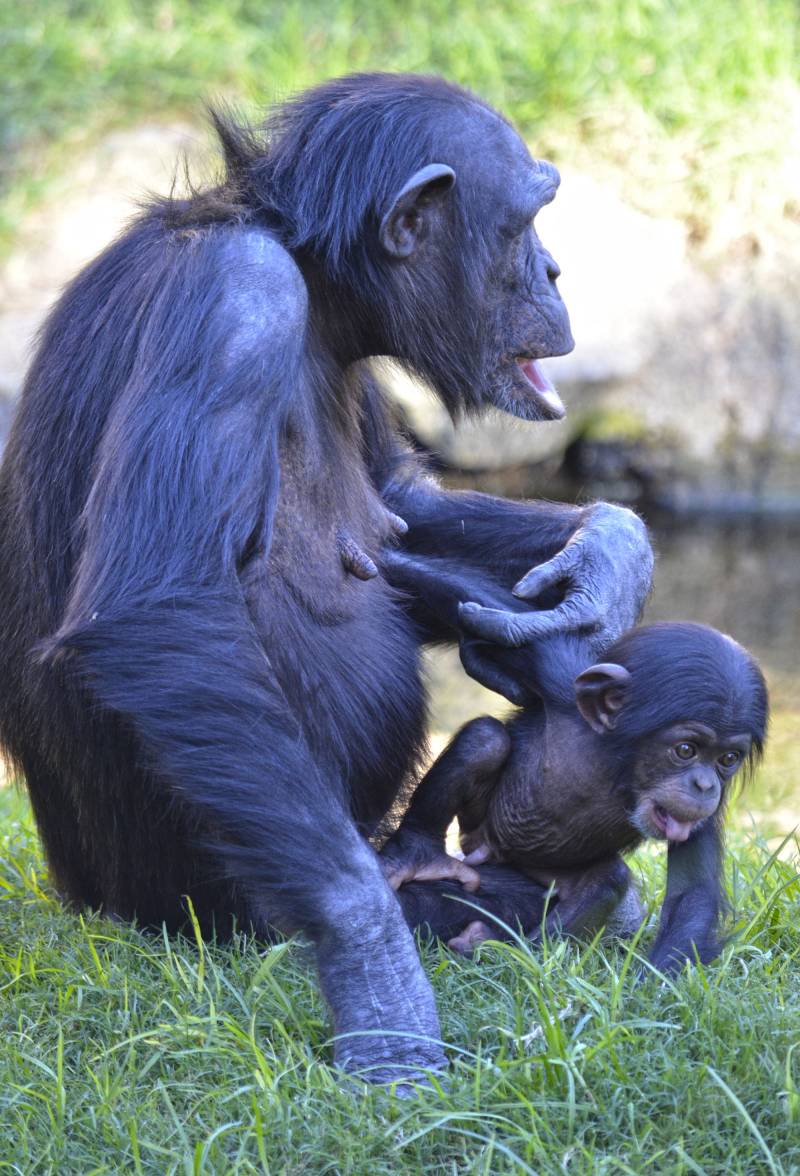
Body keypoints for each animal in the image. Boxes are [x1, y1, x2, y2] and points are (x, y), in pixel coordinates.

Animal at [0, 73, 649, 1081]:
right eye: (526, 223)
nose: (555, 271)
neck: (313, 281)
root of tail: (86, 902)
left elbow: (398, 498)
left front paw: (610, 554)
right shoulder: (234, 303)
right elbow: (161, 605)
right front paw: (373, 967)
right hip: (206, 910)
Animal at [383, 616, 767, 973]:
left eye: (727, 759)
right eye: (686, 750)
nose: (704, 785)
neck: (618, 768)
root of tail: (494, 853)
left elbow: (692, 895)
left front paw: (652, 986)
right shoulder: (560, 682)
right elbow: (527, 647)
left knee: (606, 881)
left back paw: (502, 947)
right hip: (477, 834)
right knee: (485, 739)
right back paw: (420, 856)